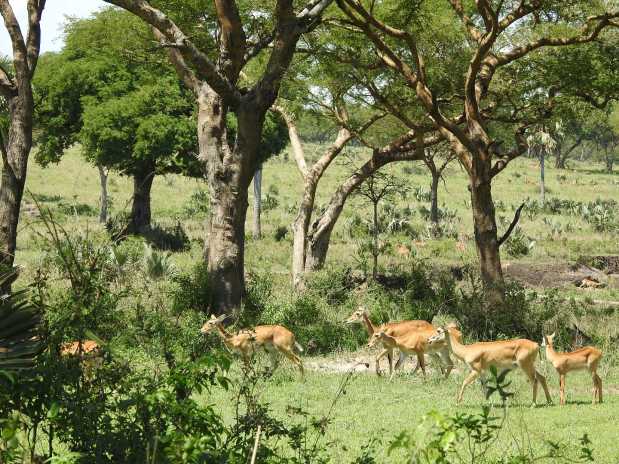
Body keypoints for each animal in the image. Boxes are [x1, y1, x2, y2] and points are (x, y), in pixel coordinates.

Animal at [428, 326, 556, 406]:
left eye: (438, 330)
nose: (429, 339)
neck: (466, 351)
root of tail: (536, 345)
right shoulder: (482, 372)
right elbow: (484, 387)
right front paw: (489, 403)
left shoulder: (475, 370)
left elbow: (464, 382)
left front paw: (457, 402)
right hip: (530, 365)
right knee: (542, 378)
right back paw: (549, 401)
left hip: (525, 365)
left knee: (535, 380)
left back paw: (533, 404)